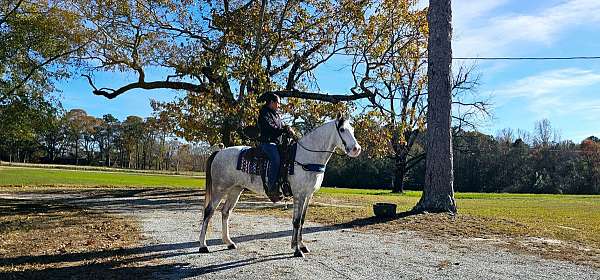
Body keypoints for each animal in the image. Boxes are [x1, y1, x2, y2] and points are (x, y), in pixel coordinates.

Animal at [200, 117, 360, 258]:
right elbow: (296, 221)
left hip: (235, 189)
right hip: (220, 189)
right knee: (209, 212)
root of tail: (219, 152)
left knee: (225, 212)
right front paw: (297, 250)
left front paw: (300, 245)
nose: (356, 149)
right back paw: (203, 246)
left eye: (352, 129)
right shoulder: (299, 194)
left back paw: (229, 242)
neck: (305, 157)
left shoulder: (308, 195)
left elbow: (301, 220)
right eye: (342, 129)